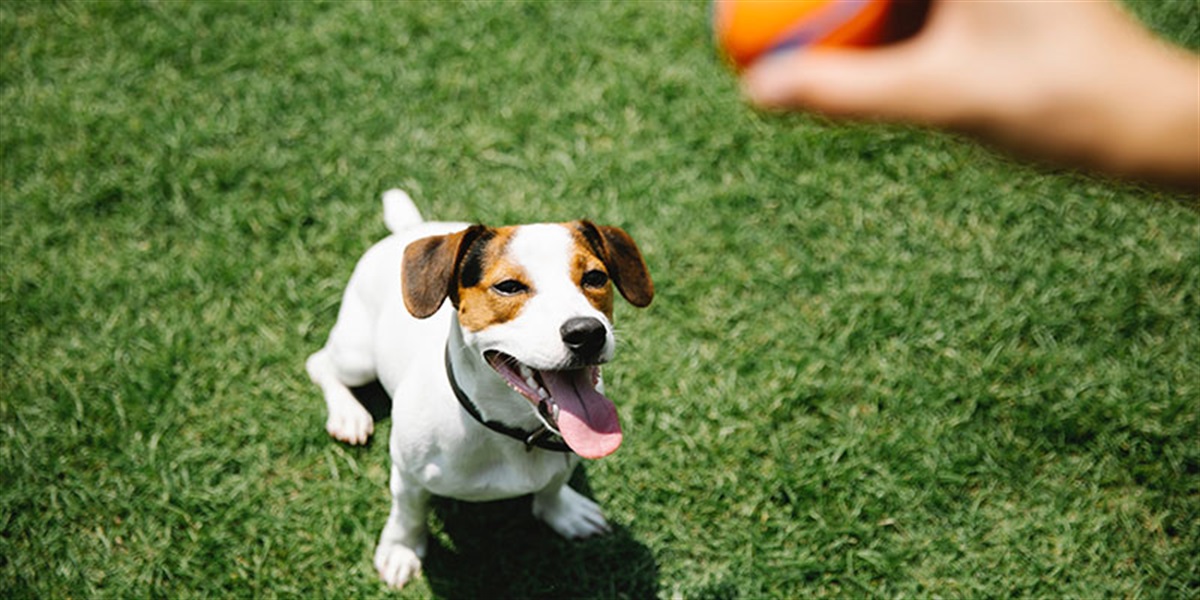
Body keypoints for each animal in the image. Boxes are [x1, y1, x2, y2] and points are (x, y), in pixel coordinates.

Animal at [304, 189, 652, 588]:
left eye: (595, 277)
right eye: (508, 286)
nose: (587, 332)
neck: (507, 430)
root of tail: (410, 228)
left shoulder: (562, 460)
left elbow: (551, 487)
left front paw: (564, 512)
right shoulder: (407, 474)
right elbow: (407, 514)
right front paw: (400, 549)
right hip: (357, 356)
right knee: (319, 364)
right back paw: (348, 415)